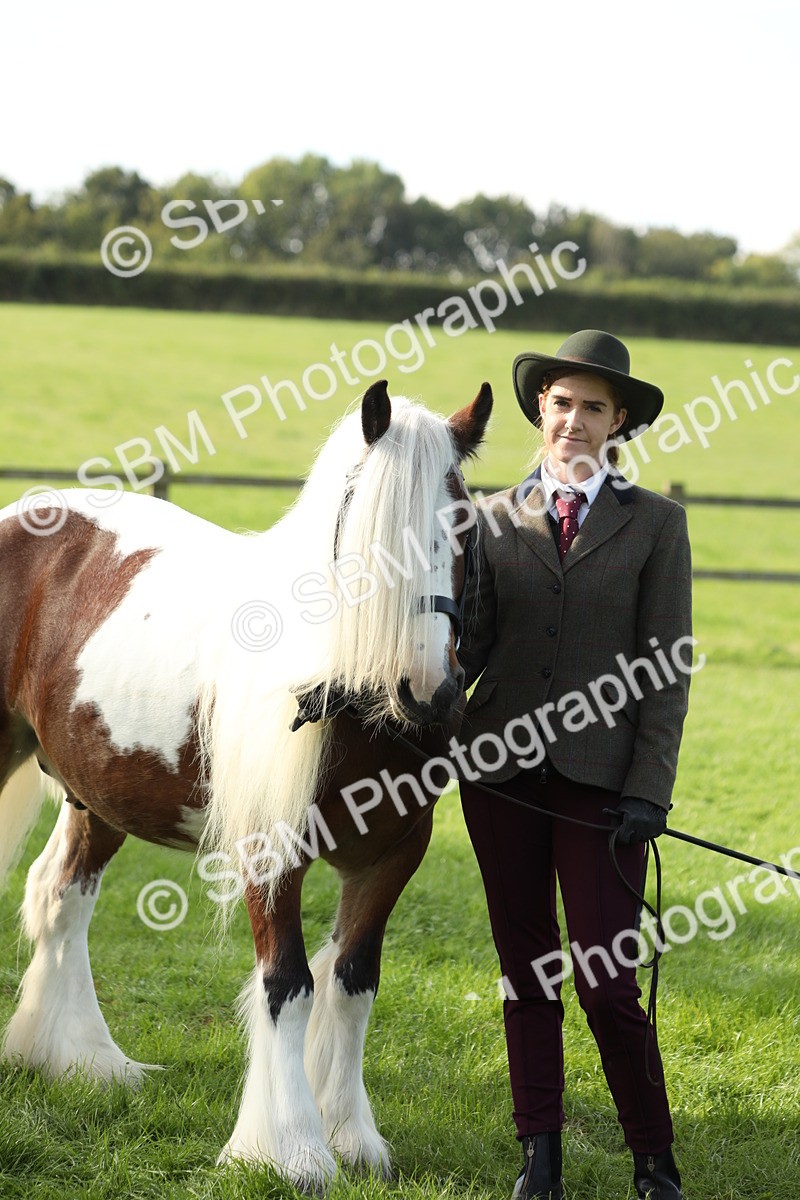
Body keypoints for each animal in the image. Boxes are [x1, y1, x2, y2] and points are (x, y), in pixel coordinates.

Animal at [0, 378, 493, 1194]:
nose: (426, 691)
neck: (345, 704)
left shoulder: (391, 857)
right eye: (361, 531)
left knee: (62, 897)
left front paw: (352, 1136)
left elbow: (352, 984)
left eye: (466, 527)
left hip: (95, 796)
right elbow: (287, 985)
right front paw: (290, 1148)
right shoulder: (270, 852)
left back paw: (81, 1060)